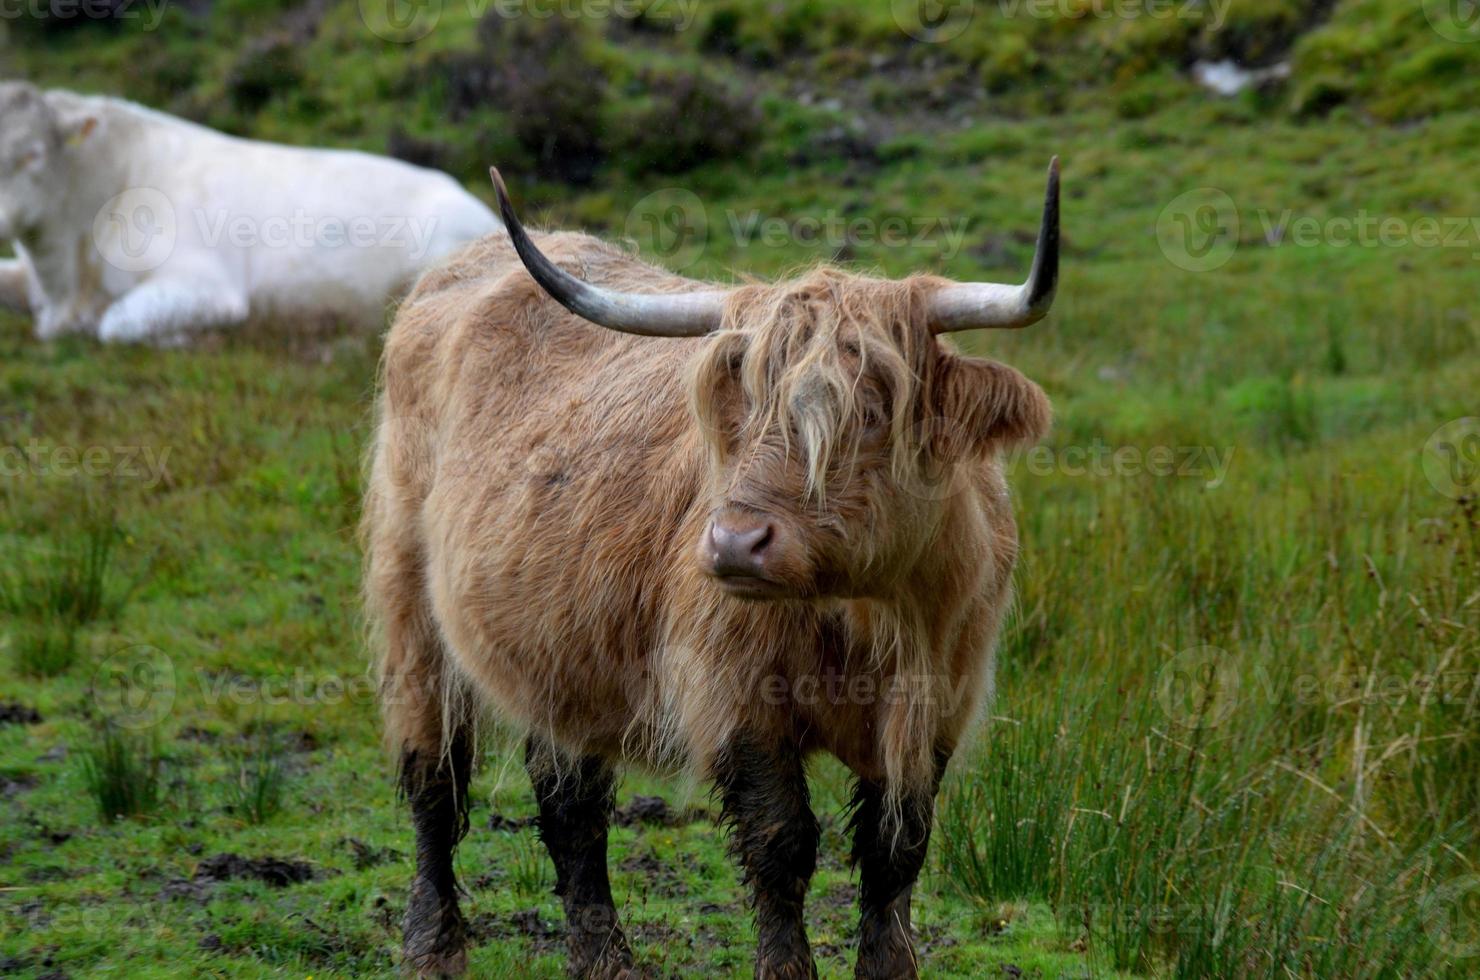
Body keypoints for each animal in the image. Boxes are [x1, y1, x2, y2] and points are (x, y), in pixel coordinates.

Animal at [367, 162, 1065, 980]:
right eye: (742, 408)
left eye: (871, 410)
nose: (734, 543)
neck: (864, 612)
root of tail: (457, 267)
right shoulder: (739, 700)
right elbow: (781, 846)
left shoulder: (939, 703)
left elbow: (896, 852)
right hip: (411, 603)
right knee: (435, 780)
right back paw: (432, 949)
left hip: (562, 643)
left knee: (570, 806)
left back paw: (604, 962)